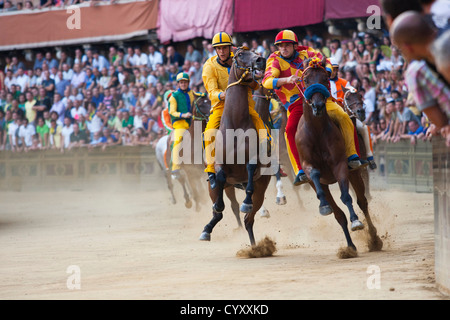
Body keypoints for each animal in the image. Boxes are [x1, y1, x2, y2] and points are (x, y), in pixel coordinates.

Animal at [298, 57, 382, 256]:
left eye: (324, 78)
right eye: (306, 80)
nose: (318, 106)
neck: (316, 131)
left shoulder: (340, 165)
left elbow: (347, 197)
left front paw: (356, 221)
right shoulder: (310, 169)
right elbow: (332, 207)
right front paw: (324, 206)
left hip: (355, 172)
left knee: (362, 202)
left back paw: (374, 238)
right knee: (339, 212)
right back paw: (350, 245)